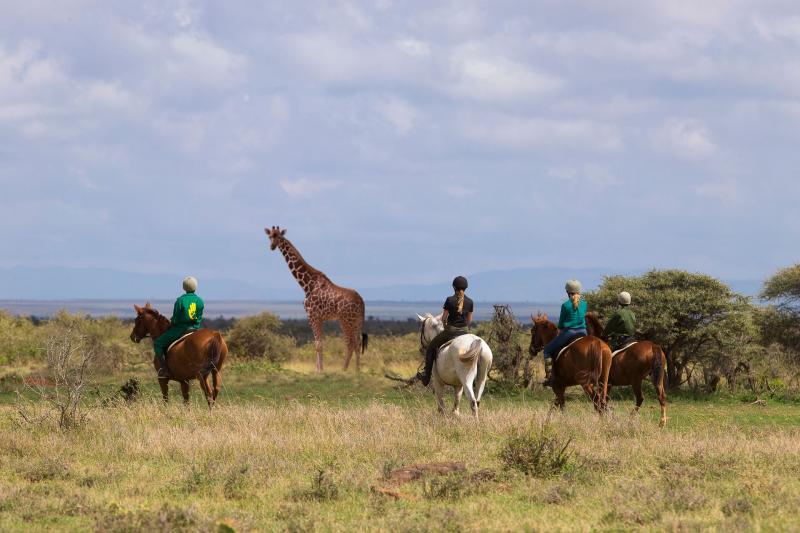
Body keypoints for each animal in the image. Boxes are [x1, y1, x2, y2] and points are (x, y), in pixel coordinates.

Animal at [268, 224, 370, 370]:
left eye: (279, 236)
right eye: (270, 236)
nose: (272, 246)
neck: (307, 284)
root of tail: (361, 301)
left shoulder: (312, 315)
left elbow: (318, 344)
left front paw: (320, 370)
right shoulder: (320, 318)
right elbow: (319, 343)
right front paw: (318, 368)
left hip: (346, 320)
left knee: (351, 343)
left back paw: (345, 369)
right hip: (356, 320)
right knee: (357, 342)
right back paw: (356, 370)